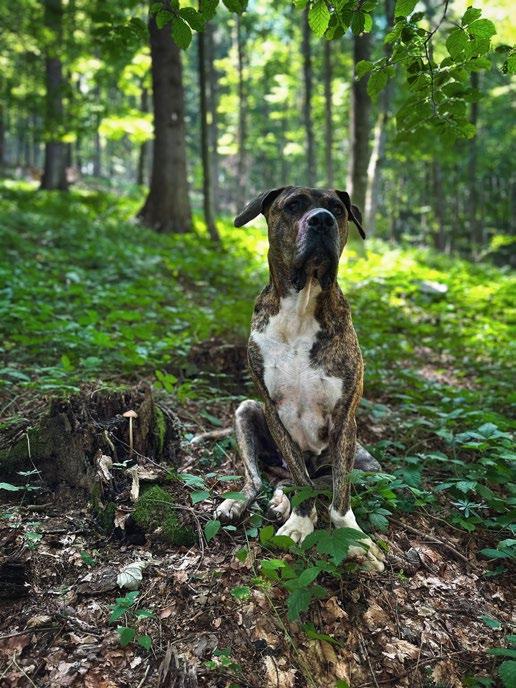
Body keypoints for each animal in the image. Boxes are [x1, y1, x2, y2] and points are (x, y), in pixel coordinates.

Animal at [214, 186, 385, 572]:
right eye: (293, 205)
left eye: (337, 208)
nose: (321, 219)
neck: (301, 305)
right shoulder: (272, 410)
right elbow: (299, 479)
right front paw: (300, 524)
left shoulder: (345, 419)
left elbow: (338, 491)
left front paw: (354, 538)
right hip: (246, 411)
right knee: (261, 478)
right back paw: (240, 502)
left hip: (371, 466)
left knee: (311, 479)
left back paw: (281, 501)